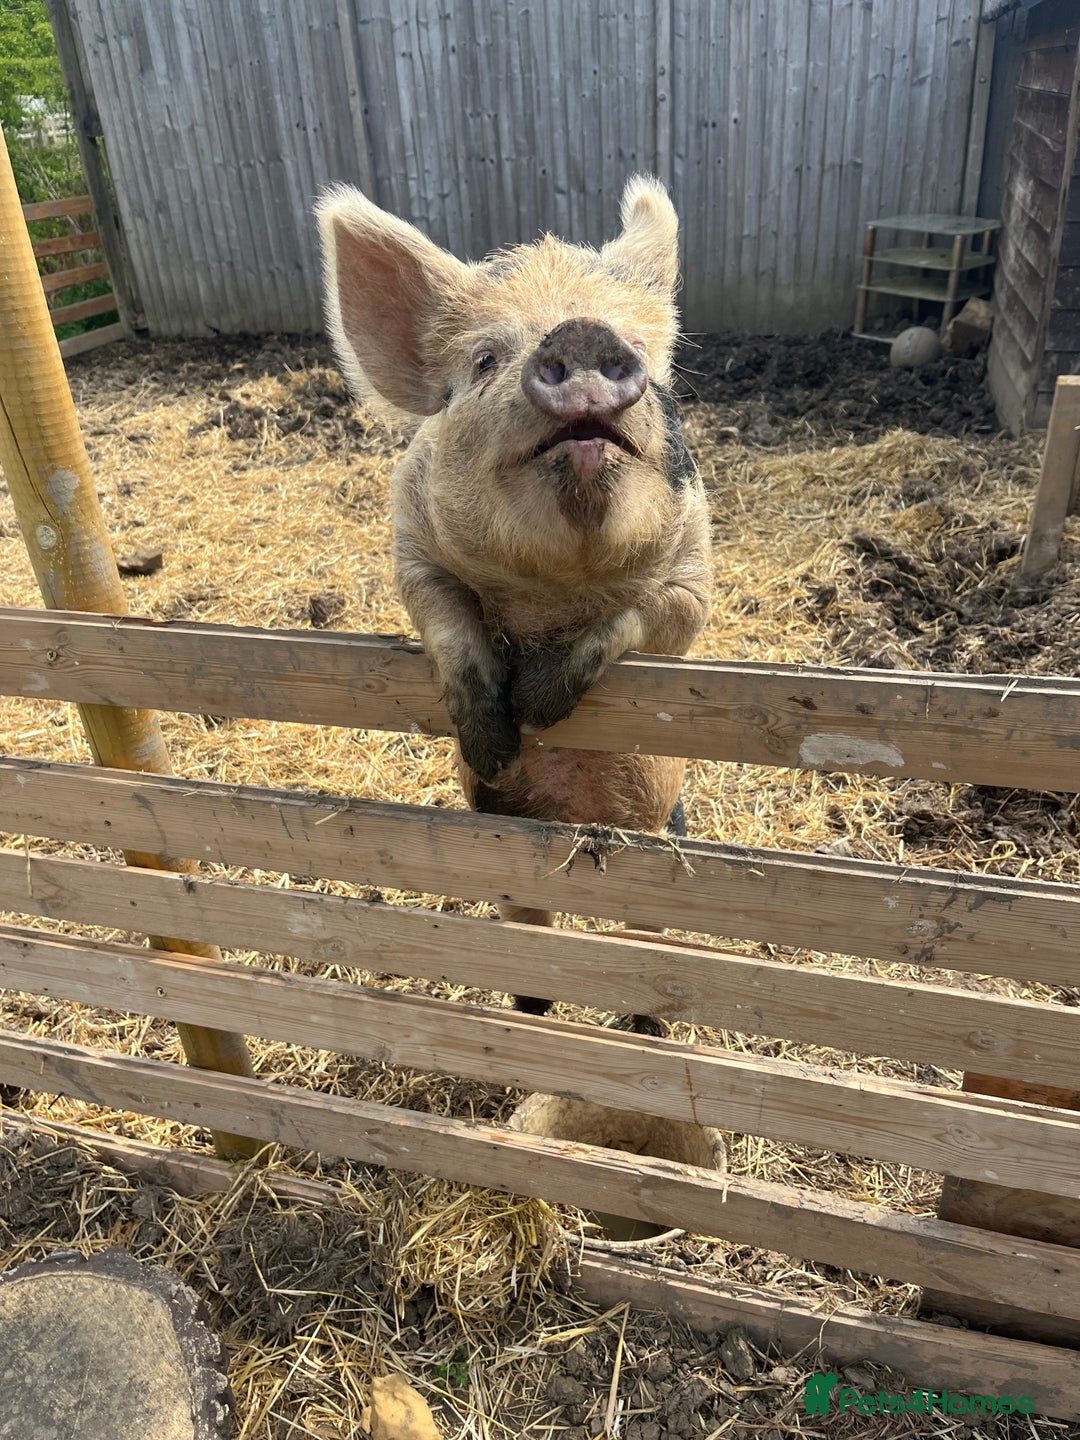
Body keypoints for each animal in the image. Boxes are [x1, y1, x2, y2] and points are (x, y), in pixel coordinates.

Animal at [317, 176, 712, 1030]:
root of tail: (577, 827)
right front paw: (498, 738)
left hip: (662, 843)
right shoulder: (409, 546)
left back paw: (647, 1026)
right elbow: (443, 615)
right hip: (508, 862)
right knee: (535, 952)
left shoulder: (697, 573)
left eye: (647, 354)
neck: (552, 586)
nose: (584, 332)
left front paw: (537, 700)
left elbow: (653, 617)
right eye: (485, 359)